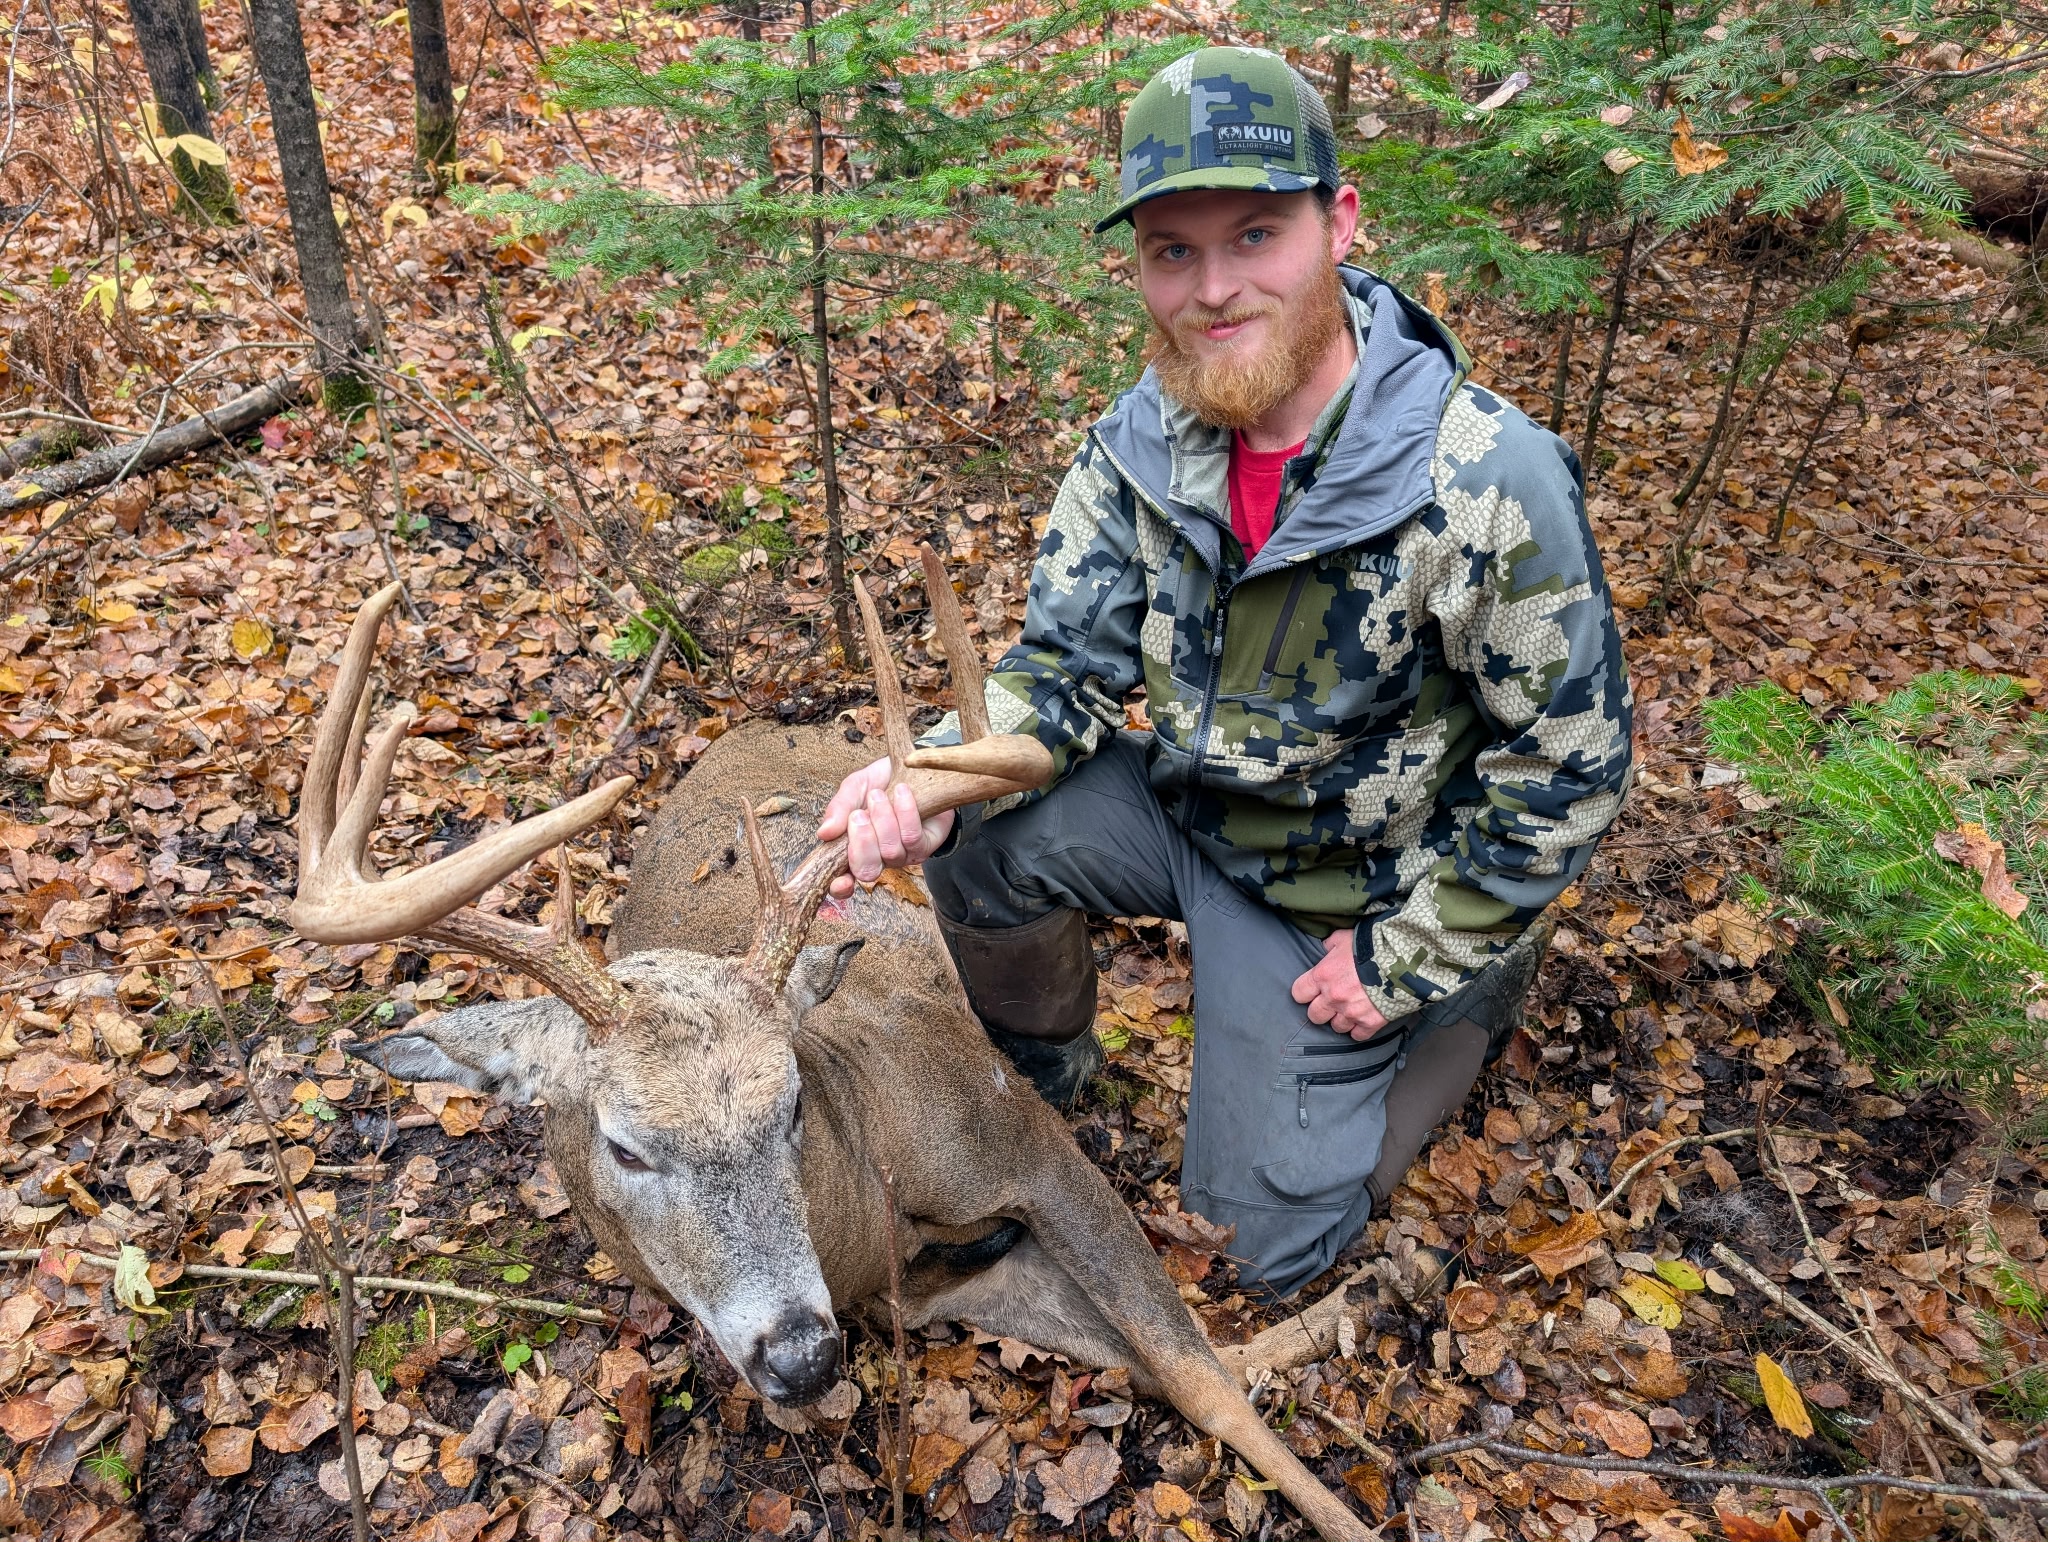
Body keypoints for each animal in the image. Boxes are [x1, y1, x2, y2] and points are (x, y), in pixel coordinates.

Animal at [293, 551, 1374, 1542]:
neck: (865, 1205)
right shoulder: (928, 1291)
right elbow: (1159, 1363)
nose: (801, 1356)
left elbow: (1197, 1374)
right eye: (625, 1147)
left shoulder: (1011, 1129)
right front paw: (1342, 1314)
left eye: (793, 1110)